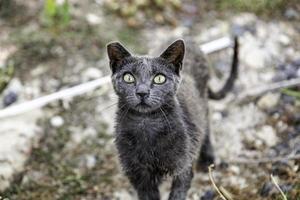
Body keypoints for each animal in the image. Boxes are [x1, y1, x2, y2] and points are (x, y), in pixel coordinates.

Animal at [106, 38, 238, 200]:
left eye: (159, 78)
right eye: (128, 77)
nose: (142, 92)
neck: (147, 125)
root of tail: (190, 40)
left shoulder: (183, 167)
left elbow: (178, 193)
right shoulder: (138, 174)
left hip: (203, 104)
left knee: (206, 124)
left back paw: (208, 157)